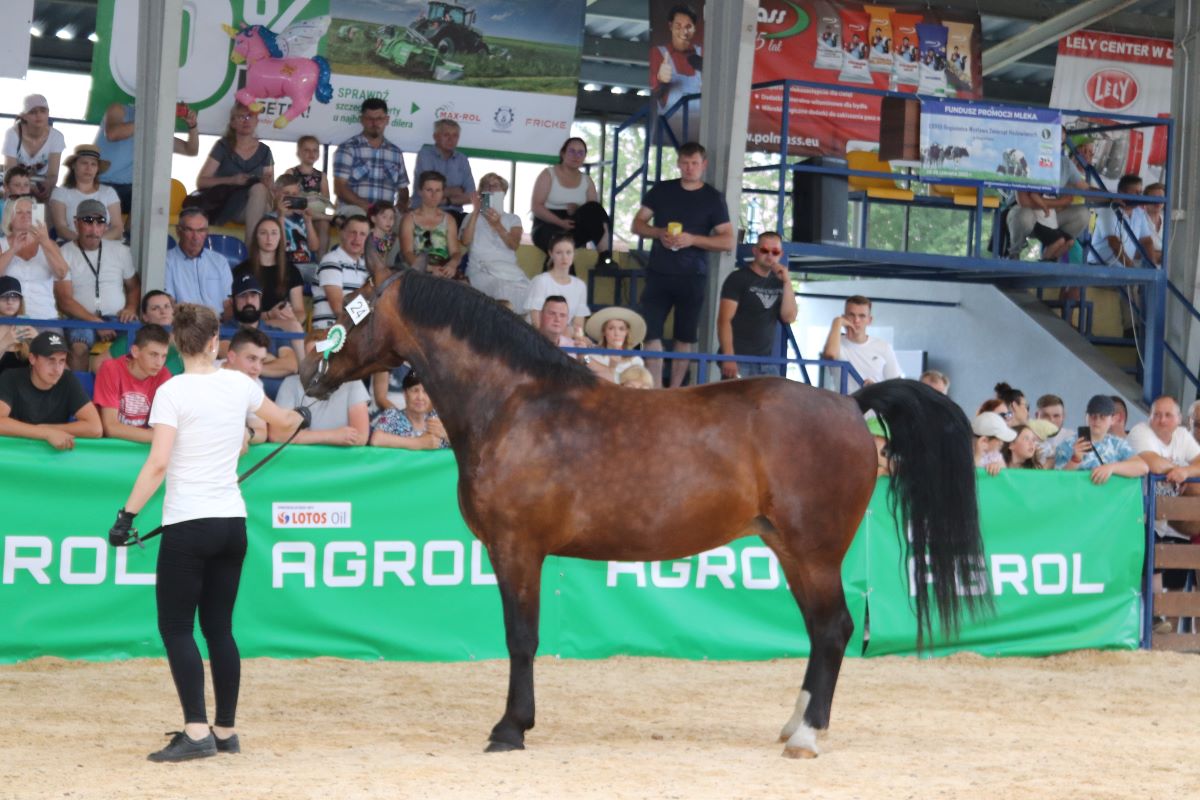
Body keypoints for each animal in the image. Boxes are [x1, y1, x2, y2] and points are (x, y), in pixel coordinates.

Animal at [300, 267, 984, 758]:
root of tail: (849, 405)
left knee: (835, 629)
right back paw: (793, 727)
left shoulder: (517, 548)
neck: (514, 404)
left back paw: (809, 737)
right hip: (790, 550)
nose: (309, 373)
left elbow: (521, 637)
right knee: (821, 633)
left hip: (814, 551)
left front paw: (510, 729)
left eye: (351, 308)